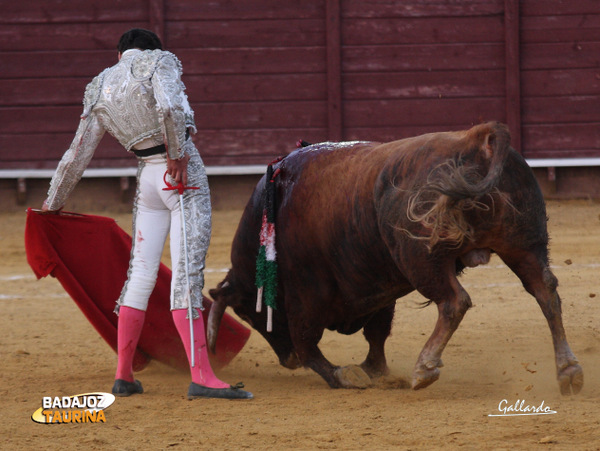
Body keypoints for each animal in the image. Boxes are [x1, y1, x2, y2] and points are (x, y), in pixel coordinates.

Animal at [206, 122, 580, 394]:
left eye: (249, 314)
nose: (288, 361)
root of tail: (478, 138)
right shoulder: (377, 285)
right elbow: (377, 333)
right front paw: (376, 371)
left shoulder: (305, 292)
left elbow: (310, 342)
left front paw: (346, 376)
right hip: (524, 244)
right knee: (546, 292)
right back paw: (568, 371)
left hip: (422, 261)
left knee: (454, 301)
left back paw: (424, 368)